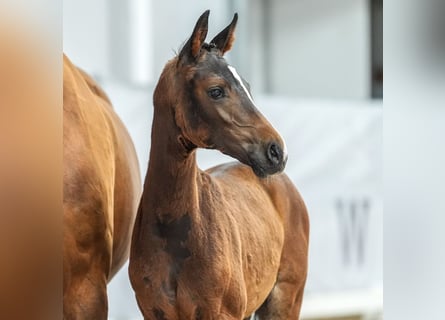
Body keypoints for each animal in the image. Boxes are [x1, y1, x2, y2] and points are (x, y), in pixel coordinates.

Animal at [130, 10, 306, 320]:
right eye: (216, 91)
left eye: (248, 87)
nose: (276, 152)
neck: (173, 234)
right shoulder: (152, 313)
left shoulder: (222, 313)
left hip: (285, 299)